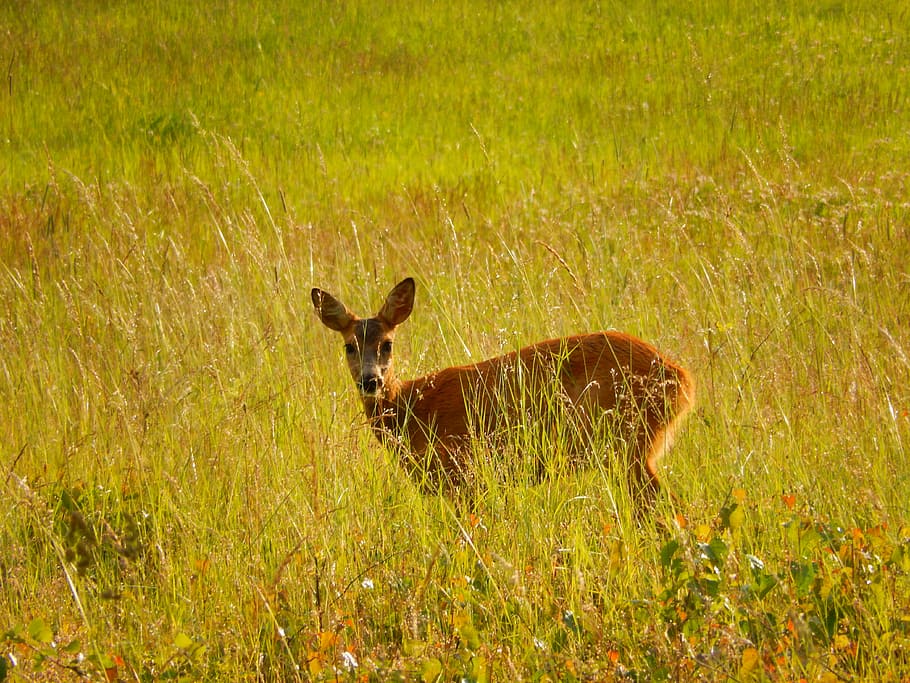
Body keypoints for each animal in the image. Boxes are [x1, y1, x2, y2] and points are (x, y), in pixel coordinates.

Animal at [311, 277, 694, 510]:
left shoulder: (462, 471)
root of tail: (683, 381)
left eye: (387, 343)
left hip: (628, 443)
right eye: (349, 346)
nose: (370, 380)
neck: (413, 407)